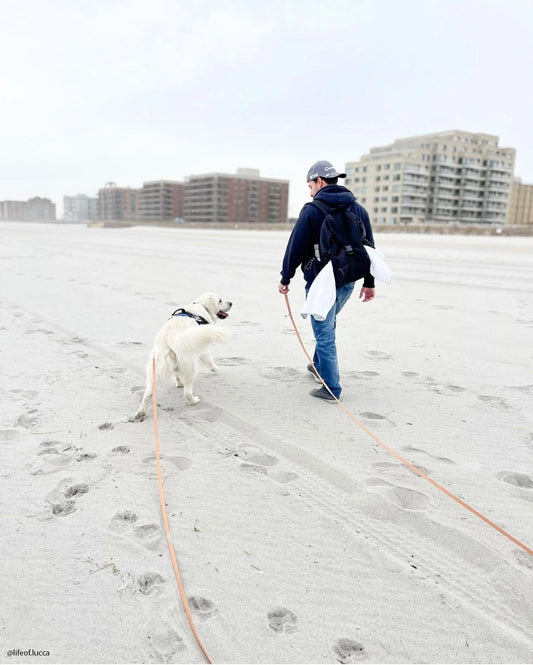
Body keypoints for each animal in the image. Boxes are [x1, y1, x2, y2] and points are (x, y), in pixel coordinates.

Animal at [131, 290, 231, 420]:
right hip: (191, 368)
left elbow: (177, 375)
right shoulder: (202, 347)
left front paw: (178, 383)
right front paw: (215, 368)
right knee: (187, 393)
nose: (231, 303)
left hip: (153, 371)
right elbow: (208, 359)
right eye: (220, 300)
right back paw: (194, 401)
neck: (201, 306)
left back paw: (141, 413)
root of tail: (170, 337)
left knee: (148, 393)